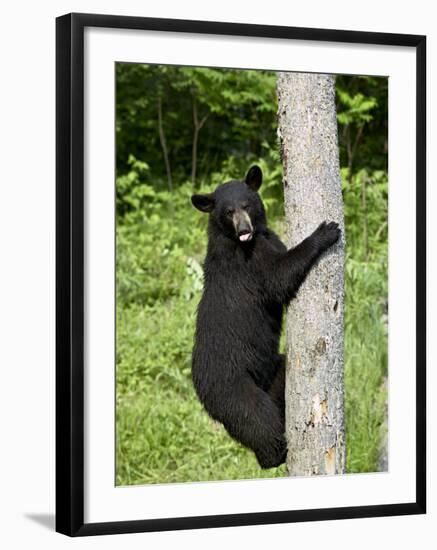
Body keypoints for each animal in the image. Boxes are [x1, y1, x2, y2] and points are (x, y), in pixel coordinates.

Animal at [192, 165, 340, 470]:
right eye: (228, 211)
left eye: (247, 204)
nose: (244, 230)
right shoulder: (248, 263)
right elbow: (279, 276)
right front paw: (325, 231)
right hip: (232, 388)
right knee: (257, 419)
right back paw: (275, 454)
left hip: (270, 371)